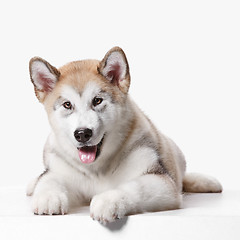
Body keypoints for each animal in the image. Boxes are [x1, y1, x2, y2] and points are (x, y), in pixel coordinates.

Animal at [25, 46, 221, 223]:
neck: (97, 169)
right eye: (67, 105)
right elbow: (49, 179)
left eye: (97, 100)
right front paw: (48, 197)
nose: (82, 134)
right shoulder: (59, 169)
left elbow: (135, 187)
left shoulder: (162, 182)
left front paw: (108, 200)